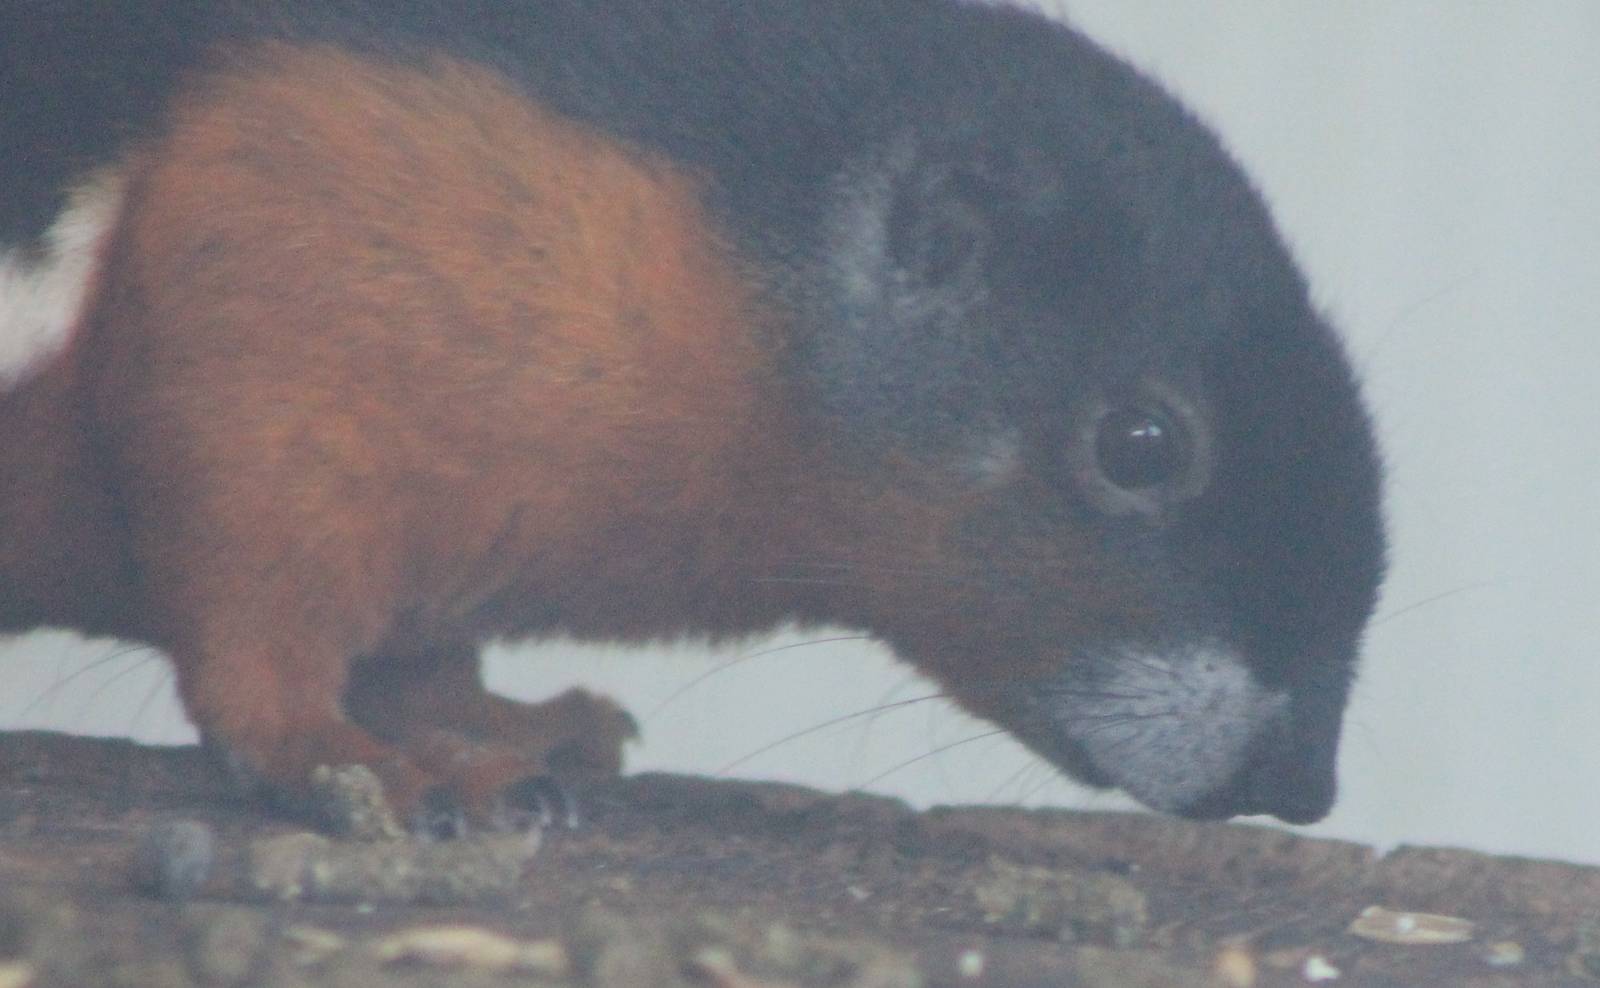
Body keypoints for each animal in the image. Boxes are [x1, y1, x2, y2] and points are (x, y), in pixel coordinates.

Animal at [0, 0, 1386, 832]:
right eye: (1141, 445)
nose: (1307, 781)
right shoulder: (267, 431)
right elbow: (258, 667)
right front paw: (345, 759)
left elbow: (416, 661)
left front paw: (493, 724)